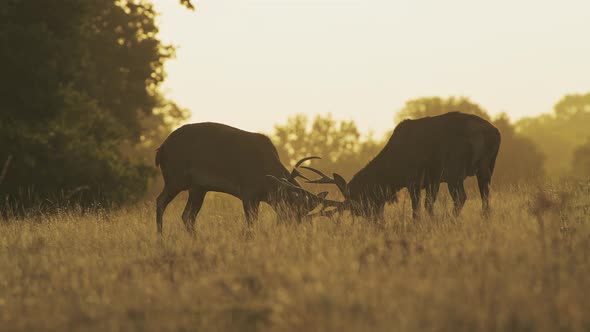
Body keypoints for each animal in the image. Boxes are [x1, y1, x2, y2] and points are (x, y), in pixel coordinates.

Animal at [155, 123, 338, 235]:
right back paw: (161, 239)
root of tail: (161, 149)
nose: (290, 230)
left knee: (187, 216)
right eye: (292, 212)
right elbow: (251, 224)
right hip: (175, 178)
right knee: (161, 201)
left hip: (198, 188)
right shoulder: (248, 192)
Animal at [302, 113, 502, 219]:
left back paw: (453, 220)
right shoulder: (432, 180)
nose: (375, 222)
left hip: (455, 169)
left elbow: (417, 208)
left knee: (461, 197)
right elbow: (429, 205)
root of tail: (494, 133)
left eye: (360, 206)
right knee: (485, 196)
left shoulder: (414, 178)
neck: (394, 172)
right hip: (487, 168)